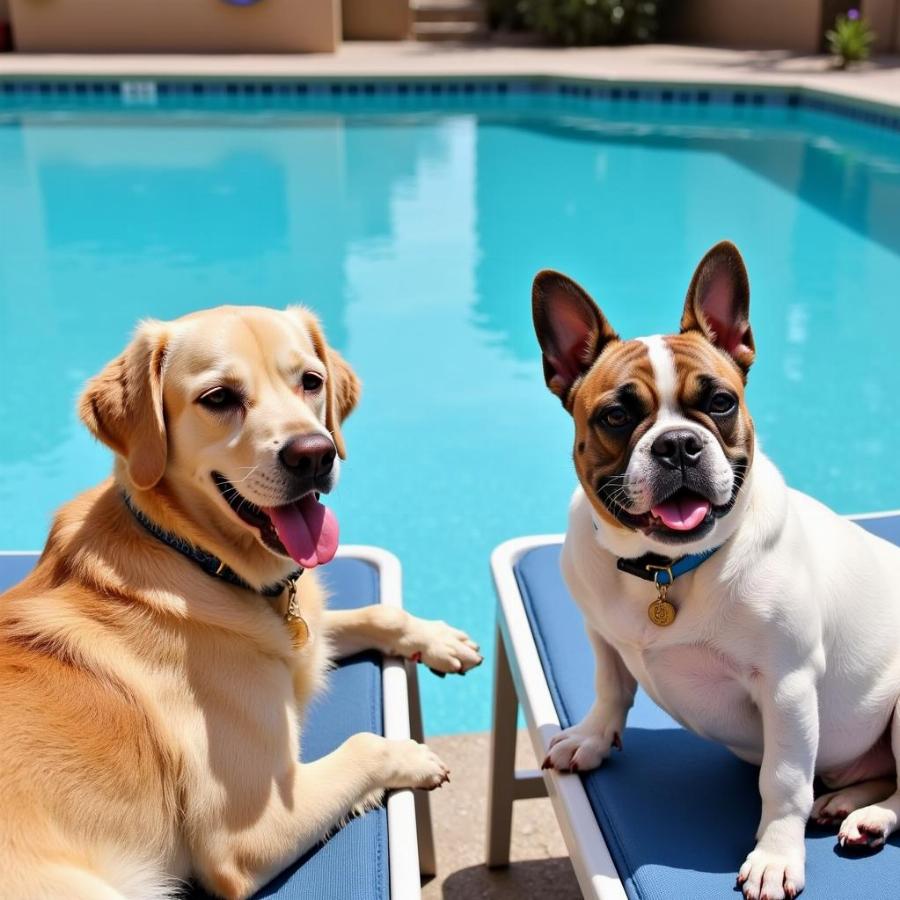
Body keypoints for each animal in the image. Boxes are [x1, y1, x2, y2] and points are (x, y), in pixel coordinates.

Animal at [0, 304, 482, 900]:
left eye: (311, 381)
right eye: (219, 398)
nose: (315, 454)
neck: (193, 554)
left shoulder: (305, 636)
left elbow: (376, 613)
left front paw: (437, 638)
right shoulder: (248, 832)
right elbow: (366, 742)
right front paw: (412, 754)